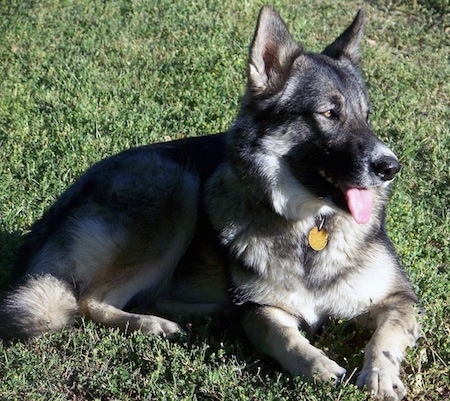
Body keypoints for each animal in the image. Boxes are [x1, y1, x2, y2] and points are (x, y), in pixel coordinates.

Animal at [2, 7, 418, 400]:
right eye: (329, 114)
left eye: (366, 117)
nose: (390, 167)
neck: (310, 229)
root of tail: (55, 212)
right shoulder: (261, 311)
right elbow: (284, 337)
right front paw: (318, 366)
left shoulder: (400, 299)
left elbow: (385, 338)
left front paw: (380, 377)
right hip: (179, 188)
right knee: (89, 299)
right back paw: (156, 324)